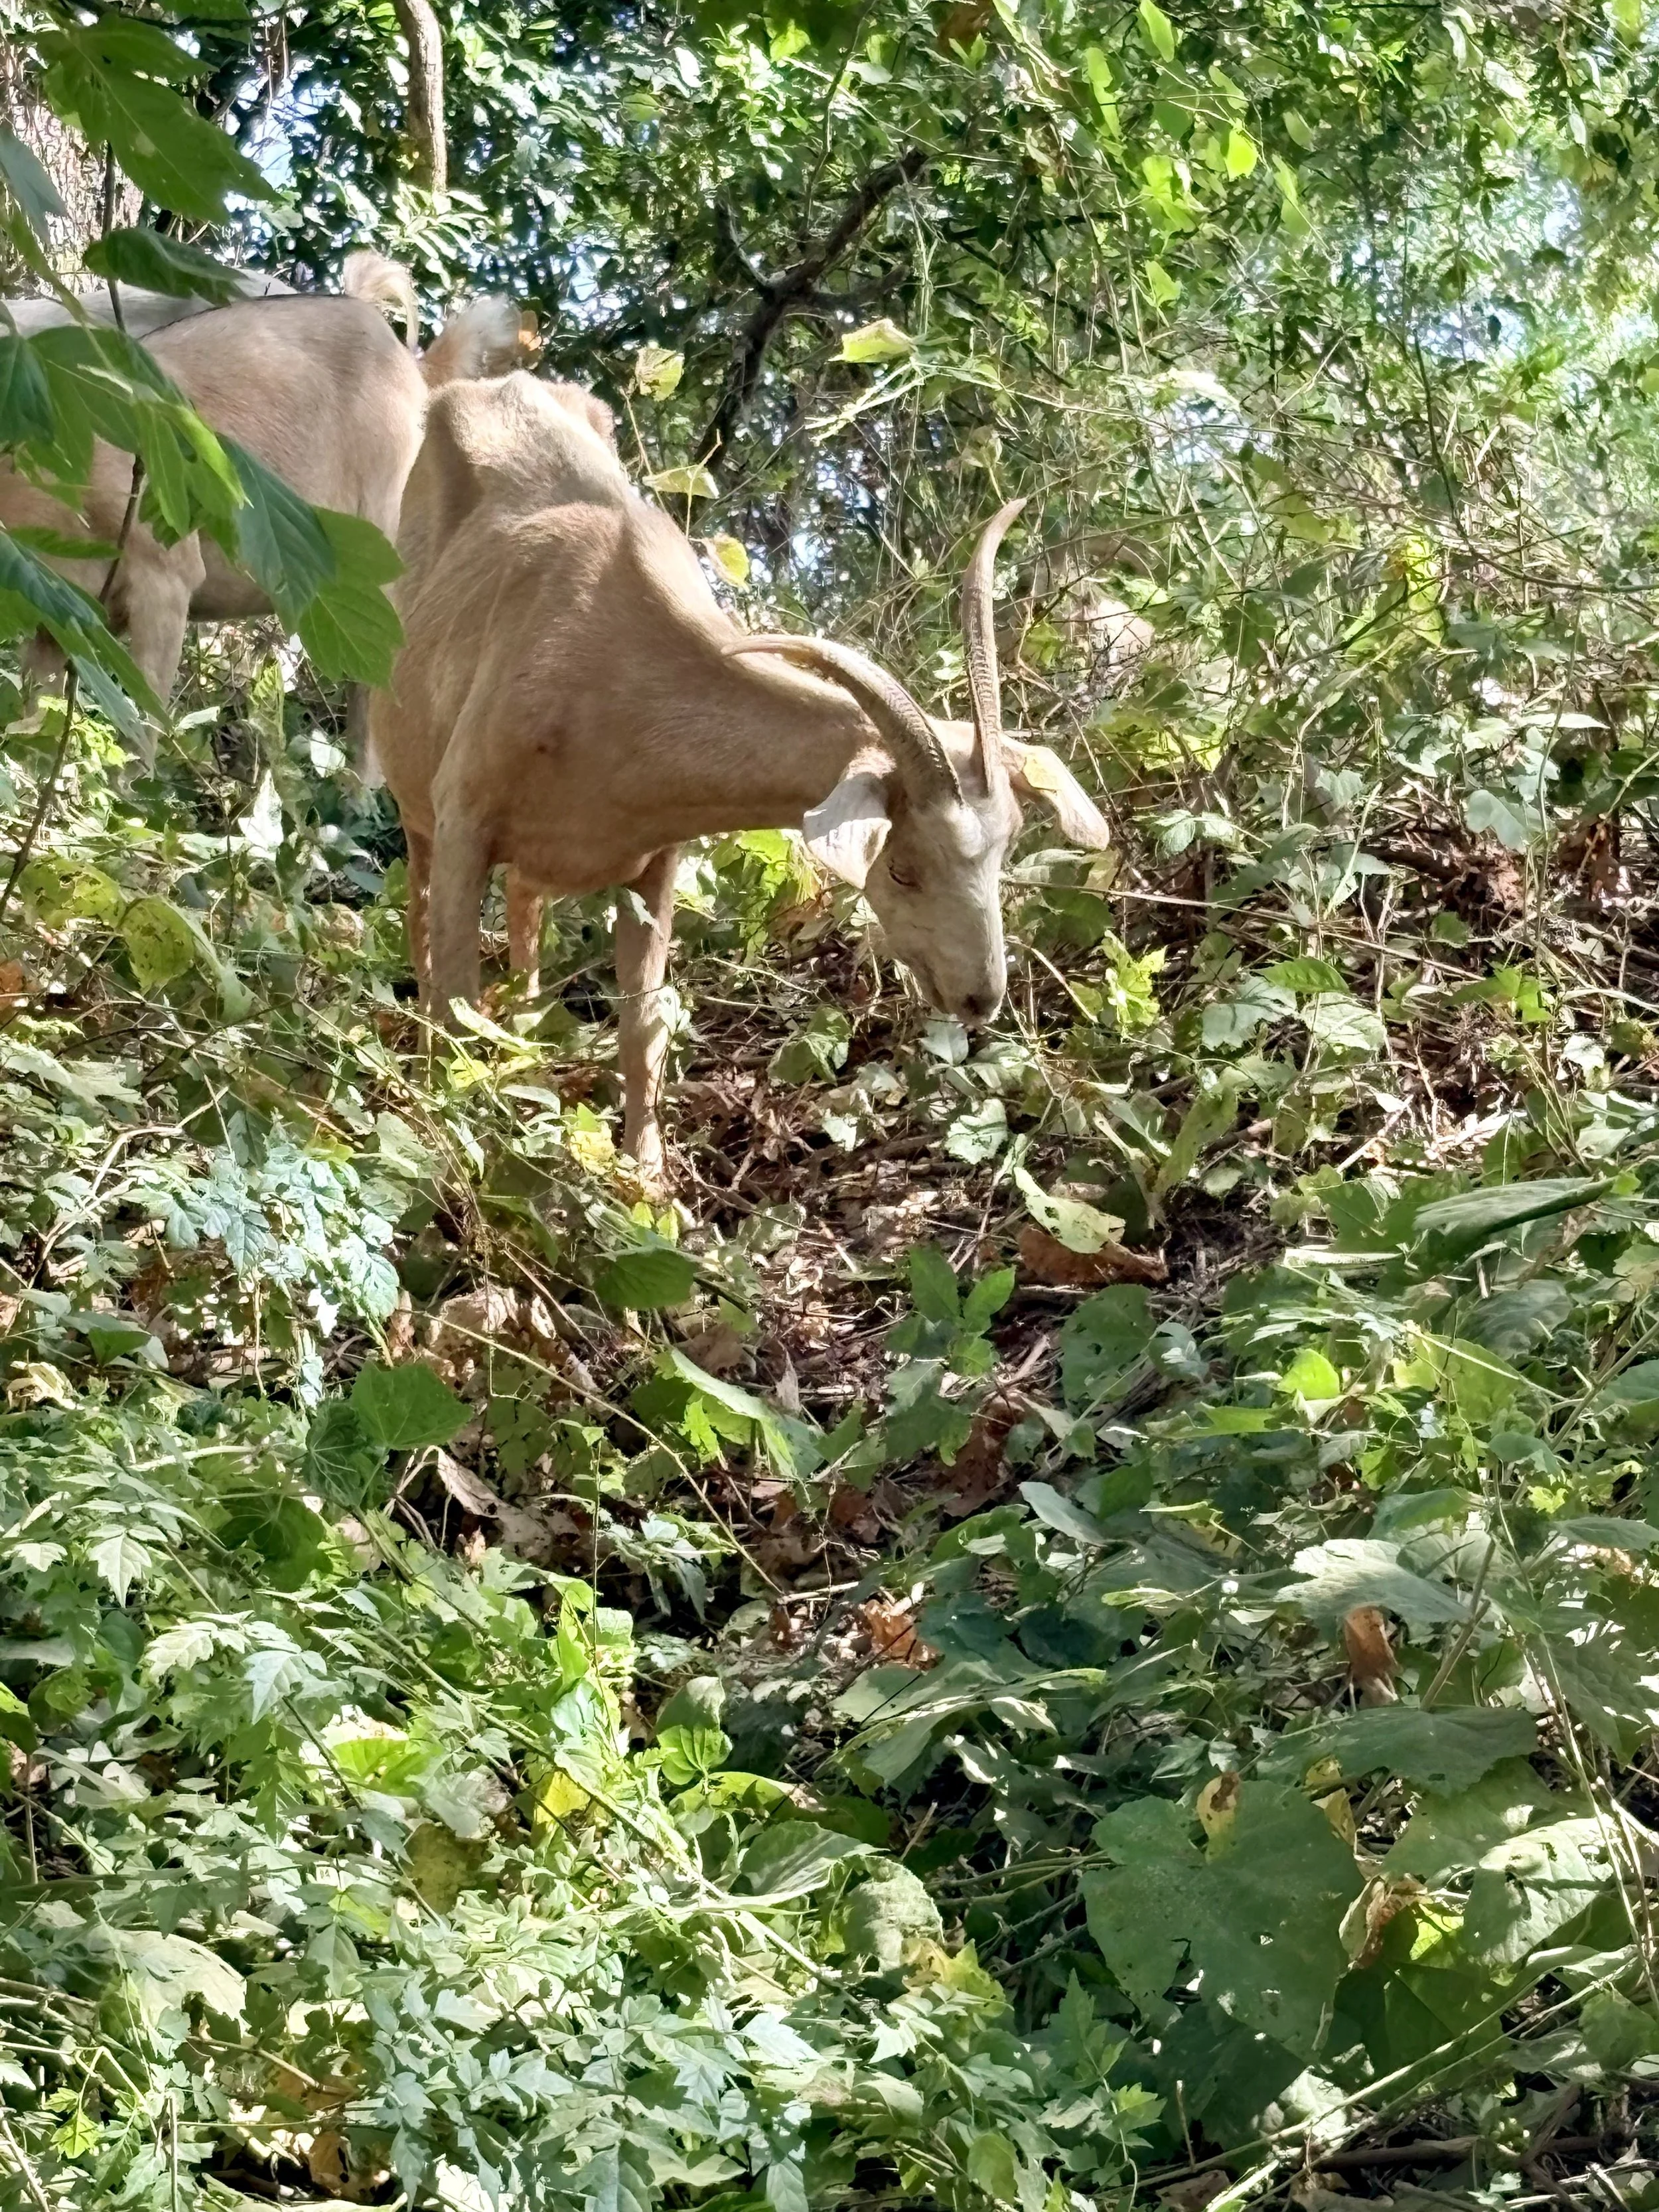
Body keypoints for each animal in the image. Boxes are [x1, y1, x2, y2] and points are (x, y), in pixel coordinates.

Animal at [371, 371, 1112, 1187]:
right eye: (904, 868)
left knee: (526, 935)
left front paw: (650, 1180)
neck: (608, 665)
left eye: (1006, 849)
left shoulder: (654, 858)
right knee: (422, 931)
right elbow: (456, 1002)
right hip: (415, 798)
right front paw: (461, 1148)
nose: (981, 996)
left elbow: (644, 1026)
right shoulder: (465, 818)